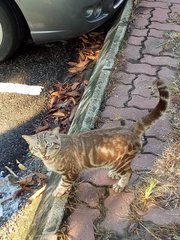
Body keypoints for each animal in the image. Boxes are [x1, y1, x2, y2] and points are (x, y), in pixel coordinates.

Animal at [22, 79, 169, 198]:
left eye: (48, 145)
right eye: (37, 147)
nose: (43, 153)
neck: (52, 160)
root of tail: (130, 129)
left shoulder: (70, 173)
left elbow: (63, 184)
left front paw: (58, 191)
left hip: (121, 162)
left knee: (129, 172)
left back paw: (120, 184)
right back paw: (114, 174)